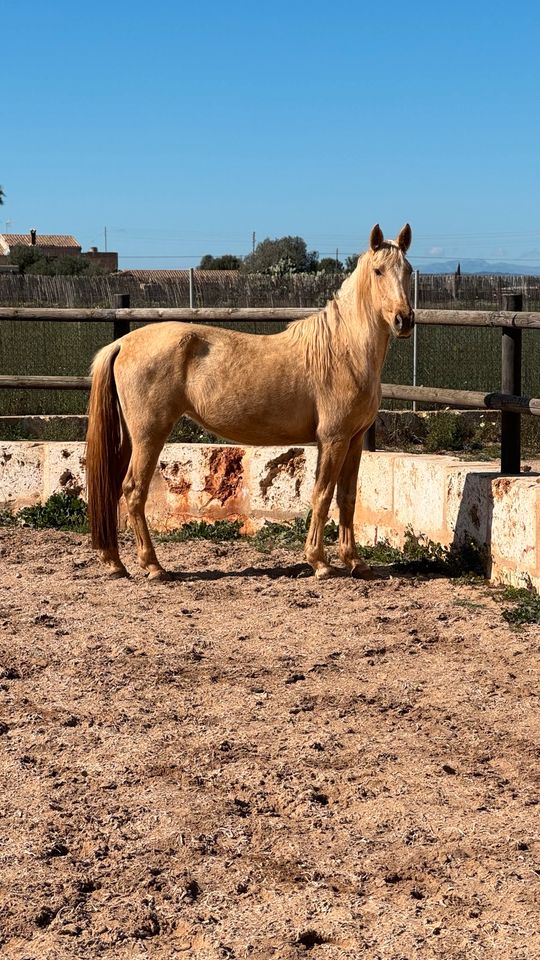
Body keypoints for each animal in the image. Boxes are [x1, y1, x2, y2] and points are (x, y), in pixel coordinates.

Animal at [86, 224, 414, 576]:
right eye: (378, 271)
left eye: (408, 270)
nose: (404, 320)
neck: (344, 349)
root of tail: (121, 343)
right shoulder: (333, 439)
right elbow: (323, 495)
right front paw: (320, 562)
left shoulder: (353, 441)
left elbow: (347, 498)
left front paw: (355, 562)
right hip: (149, 435)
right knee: (134, 490)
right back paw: (153, 566)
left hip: (129, 438)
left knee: (113, 488)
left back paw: (115, 562)